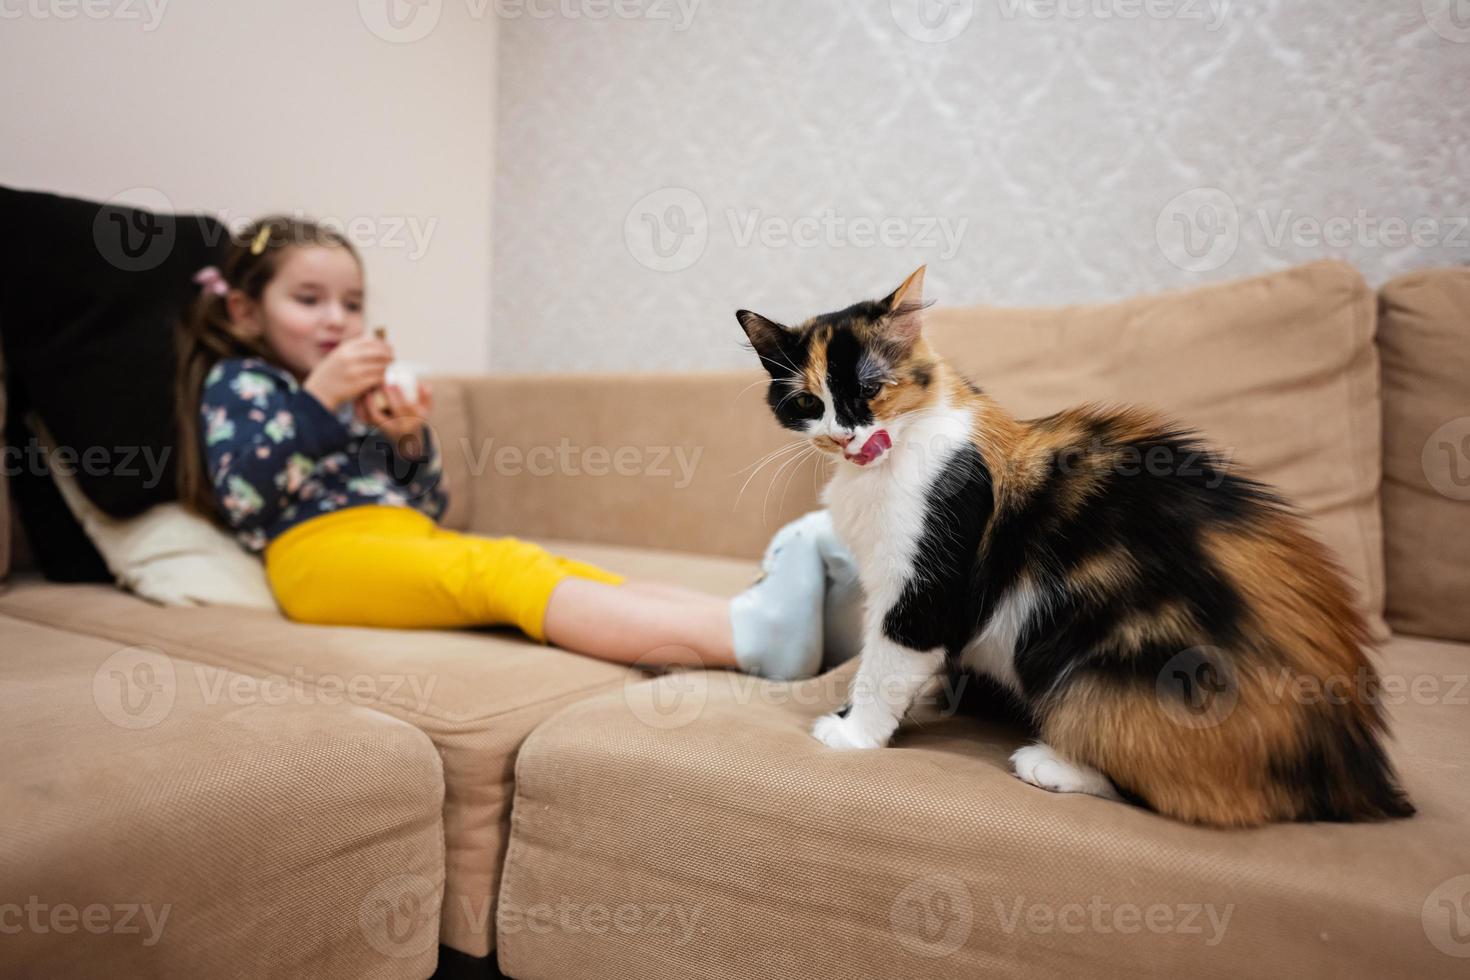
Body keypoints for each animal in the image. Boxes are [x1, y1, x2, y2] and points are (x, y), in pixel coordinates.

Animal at [740, 265, 1417, 828]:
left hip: (1106, 668)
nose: (844, 434)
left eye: (871, 389)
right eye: (808, 402)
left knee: (1189, 795)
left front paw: (855, 735)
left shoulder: (926, 586)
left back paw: (1050, 763)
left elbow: (885, 666)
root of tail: (1349, 762)